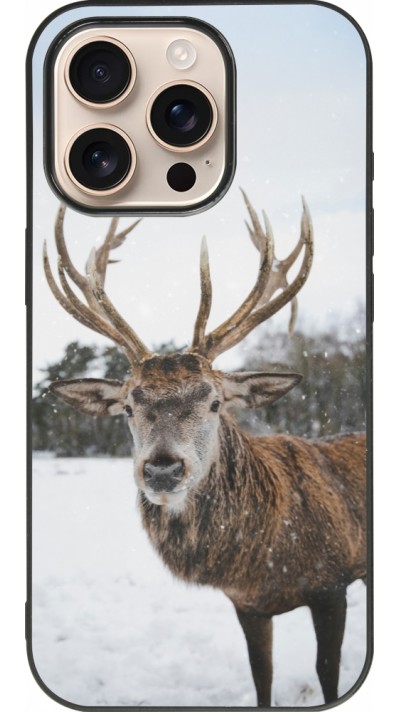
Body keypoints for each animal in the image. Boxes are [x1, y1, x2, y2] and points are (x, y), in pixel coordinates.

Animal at [43, 192, 366, 707]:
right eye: (129, 406)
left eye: (214, 402)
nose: (162, 470)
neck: (265, 559)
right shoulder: (247, 605)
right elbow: (261, 675)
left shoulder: (333, 582)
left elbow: (328, 674)